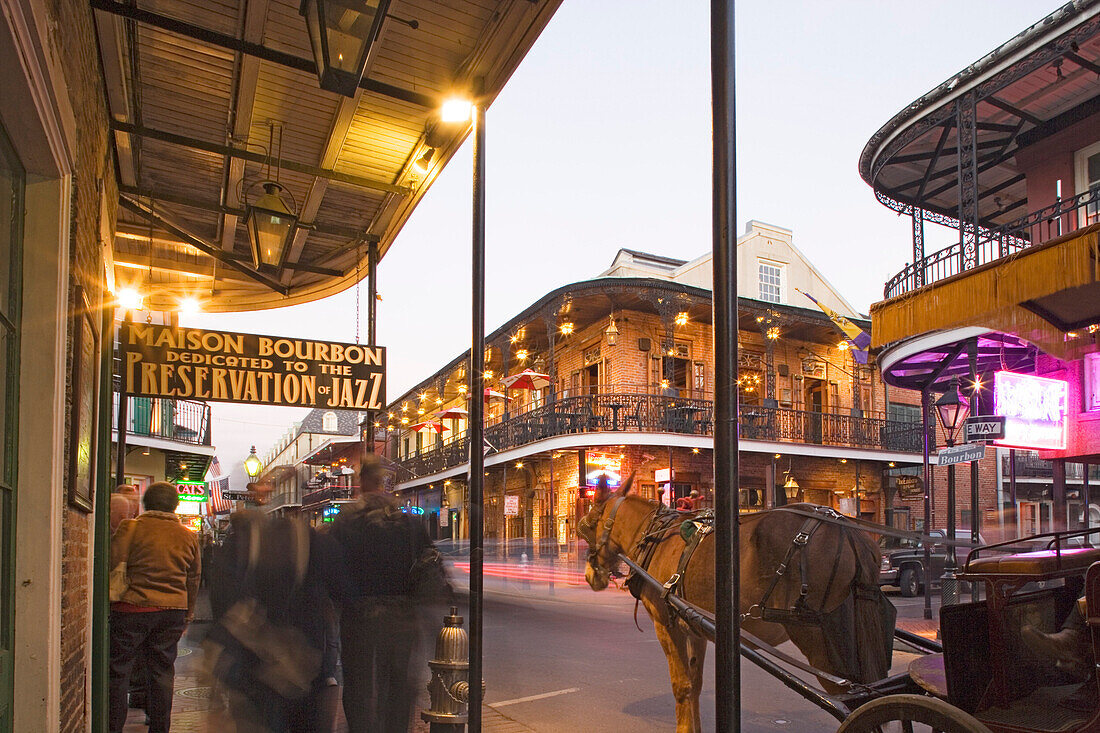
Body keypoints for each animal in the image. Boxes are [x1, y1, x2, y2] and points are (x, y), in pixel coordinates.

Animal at [580, 477, 888, 726]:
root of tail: (849, 532)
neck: (655, 536)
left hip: (820, 641)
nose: (590, 575)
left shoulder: (667, 624)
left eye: (588, 525)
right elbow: (695, 685)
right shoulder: (696, 627)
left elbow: (681, 687)